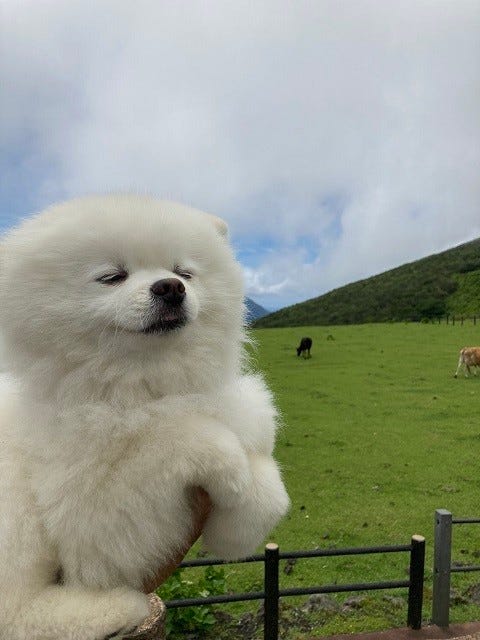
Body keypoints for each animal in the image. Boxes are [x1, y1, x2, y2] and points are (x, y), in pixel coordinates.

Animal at [0, 196, 286, 640]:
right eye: (111, 276)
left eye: (184, 272)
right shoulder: (92, 525)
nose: (170, 287)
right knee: (18, 613)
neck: (139, 388)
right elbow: (172, 437)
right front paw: (229, 463)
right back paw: (116, 609)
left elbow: (264, 498)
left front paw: (248, 496)